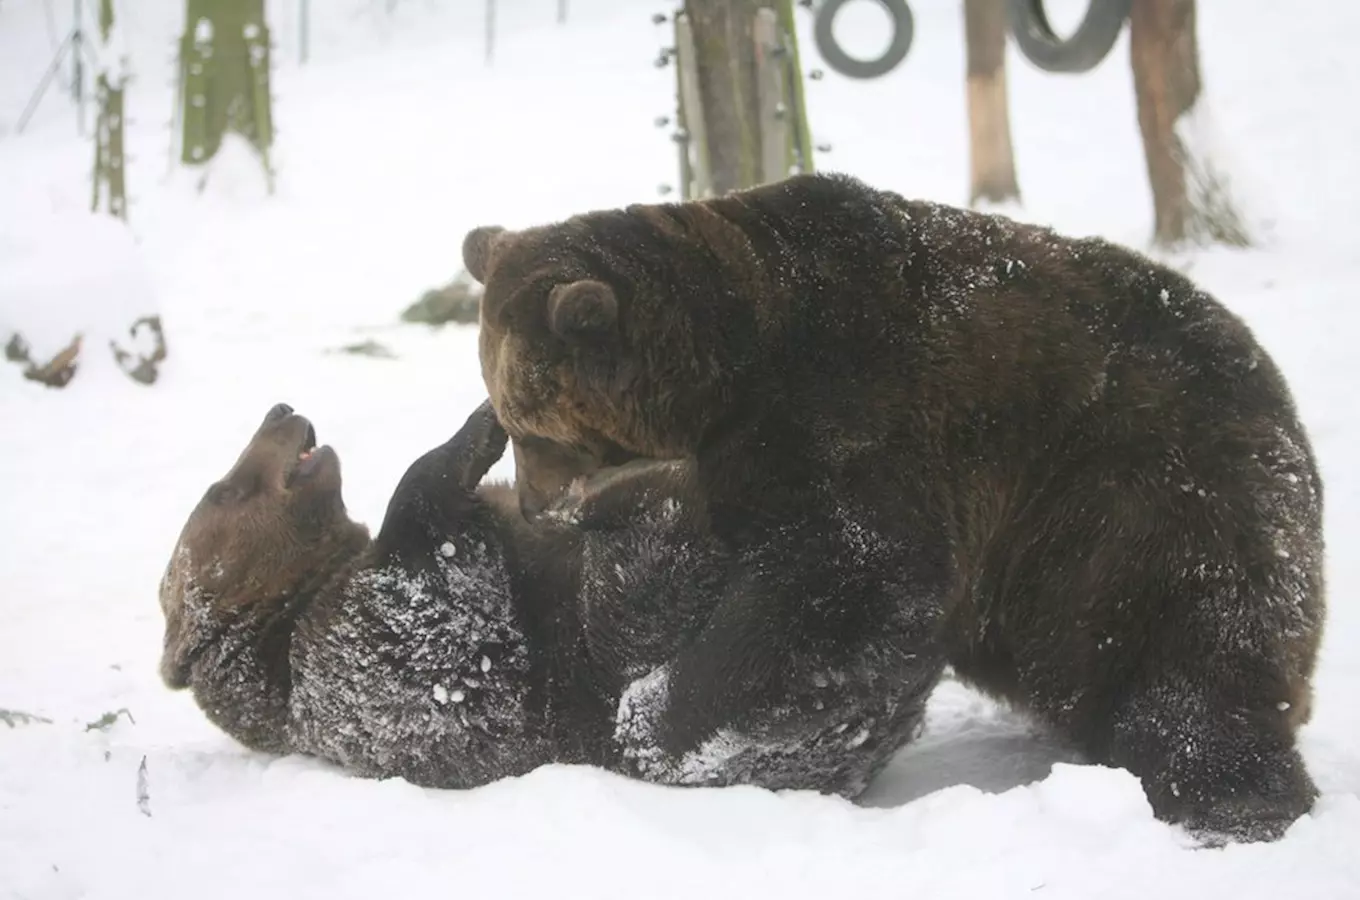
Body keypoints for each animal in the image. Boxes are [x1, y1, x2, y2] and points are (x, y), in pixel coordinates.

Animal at [465, 171, 1327, 848]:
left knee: (1190, 652)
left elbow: (849, 571)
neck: (717, 373)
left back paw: (1231, 796)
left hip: (1136, 493)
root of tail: (1284, 407)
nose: (537, 508)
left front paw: (653, 717)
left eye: (536, 434)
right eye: (511, 422)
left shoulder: (851, 409)